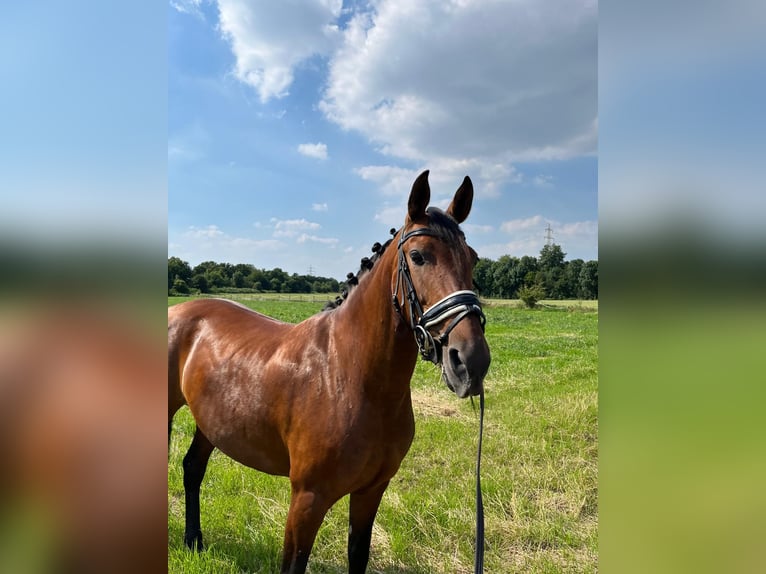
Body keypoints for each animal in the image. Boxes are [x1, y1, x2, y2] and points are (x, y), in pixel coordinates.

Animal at [168, 172, 492, 574]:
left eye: (472, 258)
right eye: (418, 256)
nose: (471, 361)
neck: (348, 377)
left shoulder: (371, 490)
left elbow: (358, 555)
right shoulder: (308, 498)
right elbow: (293, 564)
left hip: (209, 422)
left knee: (193, 468)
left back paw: (193, 541)